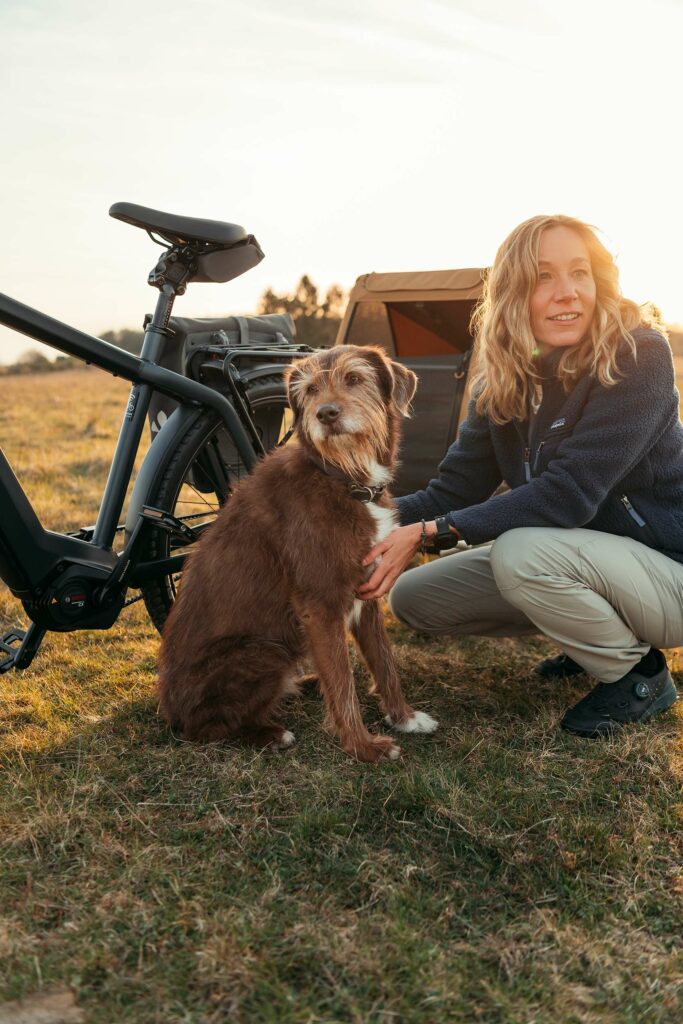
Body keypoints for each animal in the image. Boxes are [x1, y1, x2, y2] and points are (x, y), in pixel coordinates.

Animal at [156, 344, 438, 761]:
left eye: (354, 378)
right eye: (310, 390)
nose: (326, 414)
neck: (343, 478)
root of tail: (169, 709)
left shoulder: (368, 591)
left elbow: (384, 664)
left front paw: (404, 718)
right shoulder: (320, 606)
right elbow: (343, 685)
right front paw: (363, 747)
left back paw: (302, 683)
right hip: (263, 651)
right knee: (205, 728)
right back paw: (272, 733)